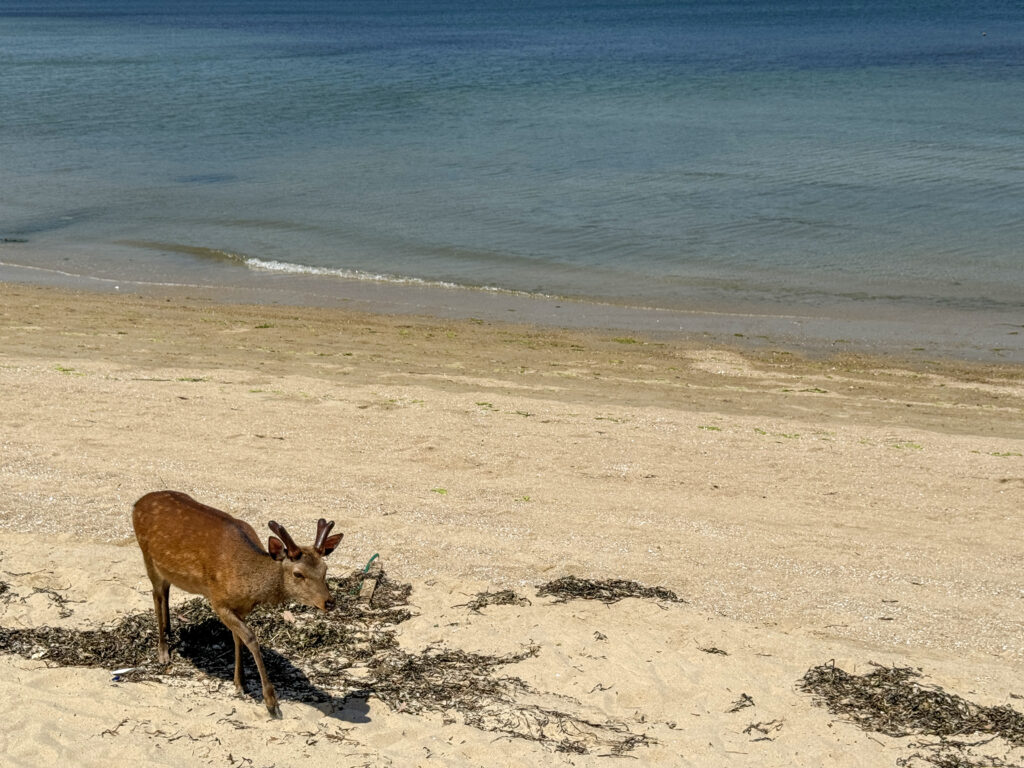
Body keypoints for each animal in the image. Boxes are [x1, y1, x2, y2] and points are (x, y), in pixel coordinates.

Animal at [132, 489, 344, 720]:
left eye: (325, 569)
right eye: (298, 574)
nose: (329, 602)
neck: (247, 584)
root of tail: (138, 503)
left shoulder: (240, 608)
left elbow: (237, 639)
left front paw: (240, 683)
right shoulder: (218, 601)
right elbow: (251, 639)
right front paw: (272, 704)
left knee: (166, 590)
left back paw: (169, 632)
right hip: (147, 557)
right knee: (157, 594)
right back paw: (163, 651)